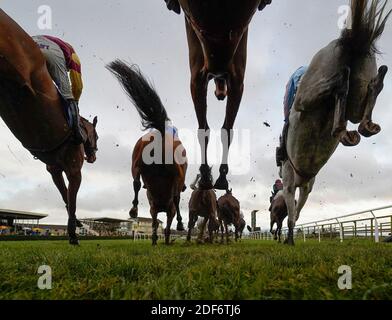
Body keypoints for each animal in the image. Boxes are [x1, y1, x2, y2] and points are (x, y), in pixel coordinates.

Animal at [0, 10, 98, 245]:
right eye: (97, 137)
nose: (93, 157)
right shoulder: (74, 170)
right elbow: (71, 198)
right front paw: (73, 233)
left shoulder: (54, 169)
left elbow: (64, 195)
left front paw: (76, 225)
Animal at [106, 60, 188, 245]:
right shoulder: (166, 205)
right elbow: (167, 220)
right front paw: (168, 235)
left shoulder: (155, 209)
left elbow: (158, 223)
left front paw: (158, 238)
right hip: (175, 173)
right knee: (175, 197)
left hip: (137, 163)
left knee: (136, 182)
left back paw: (134, 210)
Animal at [165, 0, 272, 190]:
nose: (220, 93)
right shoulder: (204, 76)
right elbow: (209, 129)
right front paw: (208, 175)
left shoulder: (230, 78)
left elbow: (221, 130)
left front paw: (216, 176)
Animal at [280, 0, 390, 245]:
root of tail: (349, 41)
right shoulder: (303, 186)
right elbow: (295, 210)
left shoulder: (295, 184)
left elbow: (293, 212)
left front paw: (289, 237)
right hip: (358, 90)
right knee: (356, 108)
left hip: (307, 94)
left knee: (331, 90)